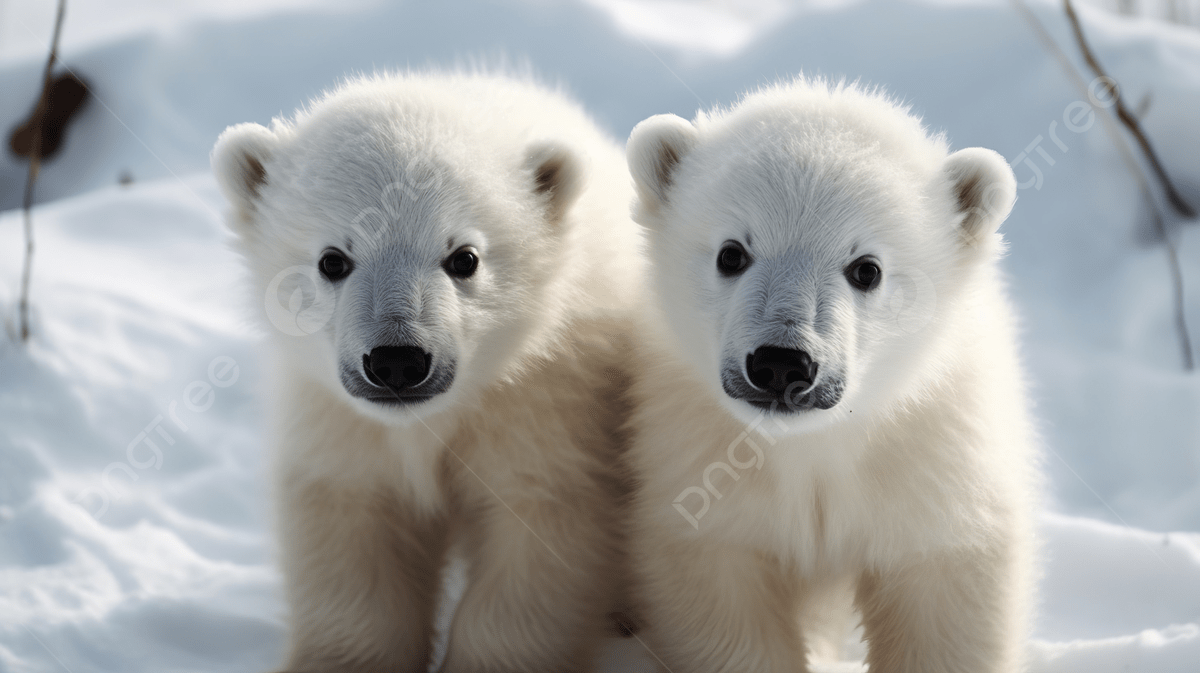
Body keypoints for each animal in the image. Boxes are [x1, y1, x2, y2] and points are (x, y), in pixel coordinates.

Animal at [211, 72, 643, 672]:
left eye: (464, 257)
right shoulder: (339, 422)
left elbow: (539, 536)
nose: (397, 360)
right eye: (332, 259)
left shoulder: (545, 407)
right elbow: (353, 535)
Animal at [622, 78, 1038, 673]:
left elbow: (943, 599)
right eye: (731, 253)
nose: (781, 362)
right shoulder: (700, 471)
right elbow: (727, 614)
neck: (814, 446)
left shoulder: (933, 462)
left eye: (867, 268)